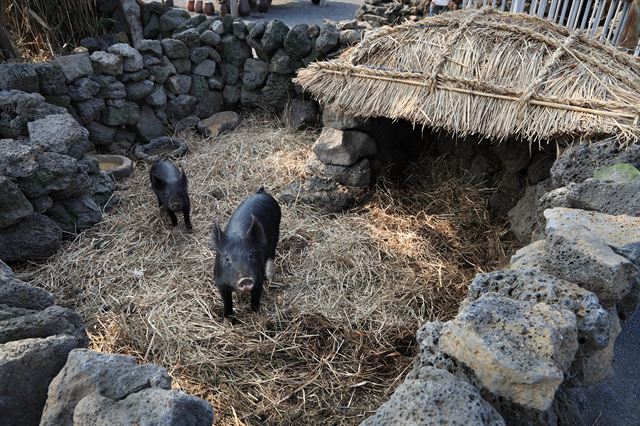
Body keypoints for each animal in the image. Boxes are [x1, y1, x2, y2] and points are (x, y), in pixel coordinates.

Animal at [210, 188, 280, 322]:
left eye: (250, 256)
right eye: (227, 259)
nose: (245, 279)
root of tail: (262, 193)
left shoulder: (258, 279)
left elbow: (255, 300)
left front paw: (256, 315)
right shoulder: (220, 284)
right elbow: (227, 304)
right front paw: (227, 323)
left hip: (277, 231)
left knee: (272, 253)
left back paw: (270, 277)